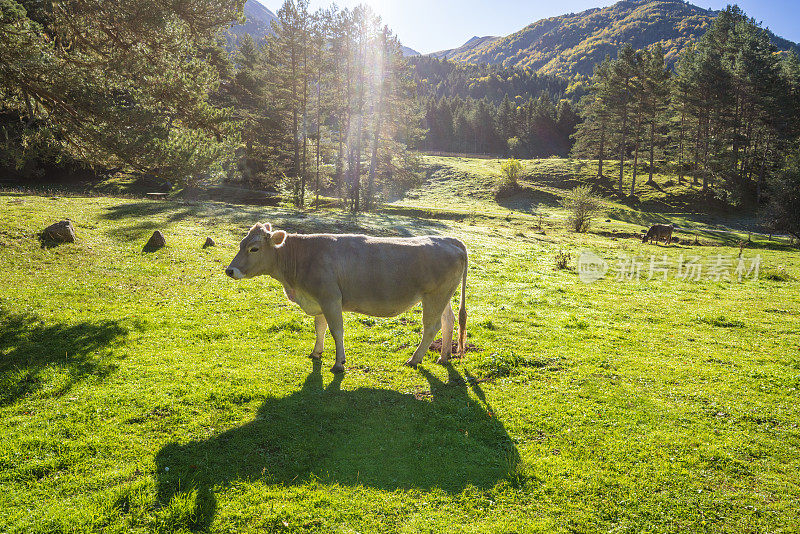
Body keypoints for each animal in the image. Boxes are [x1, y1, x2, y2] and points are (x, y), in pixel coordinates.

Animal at [223, 224, 468, 374]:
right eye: (241, 244)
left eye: (254, 248)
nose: (230, 270)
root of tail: (450, 240)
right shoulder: (318, 300)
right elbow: (320, 328)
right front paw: (316, 352)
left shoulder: (330, 298)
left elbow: (336, 330)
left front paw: (339, 363)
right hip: (443, 296)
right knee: (448, 320)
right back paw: (444, 356)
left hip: (435, 295)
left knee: (431, 327)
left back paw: (415, 359)